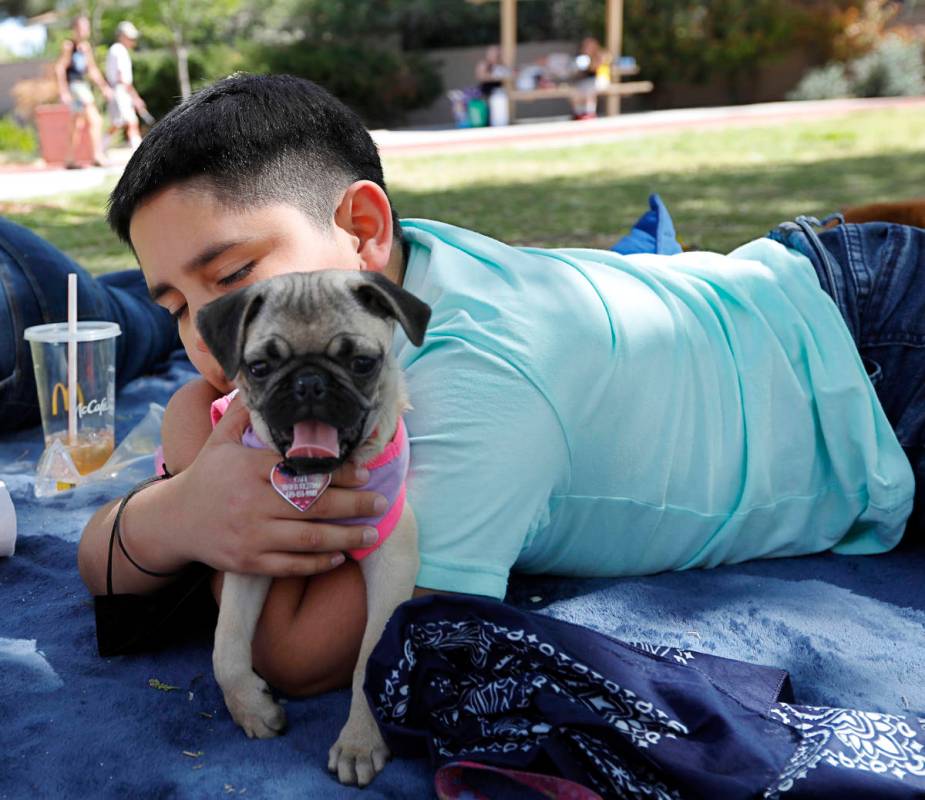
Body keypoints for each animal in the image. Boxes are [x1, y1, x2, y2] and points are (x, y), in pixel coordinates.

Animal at [197, 270, 432, 788]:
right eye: (259, 367)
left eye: (362, 363)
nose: (308, 382)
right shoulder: (249, 555)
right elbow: (224, 648)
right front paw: (251, 709)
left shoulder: (391, 559)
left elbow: (370, 660)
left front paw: (360, 740)